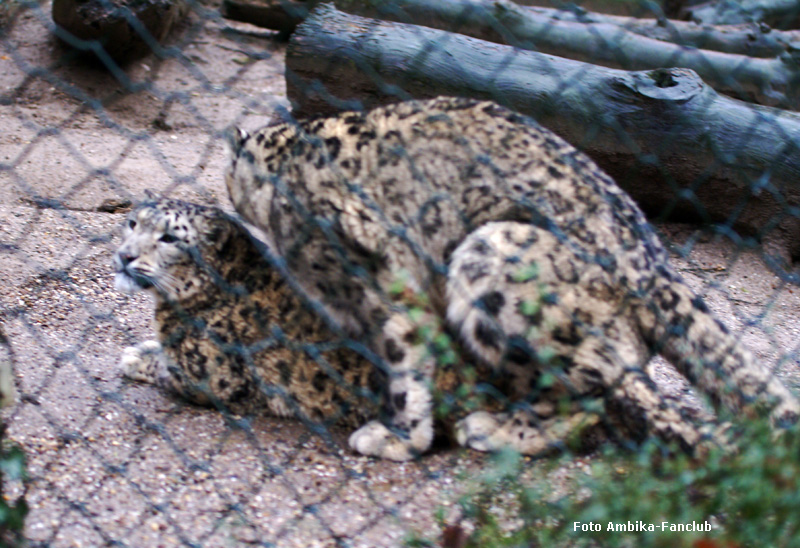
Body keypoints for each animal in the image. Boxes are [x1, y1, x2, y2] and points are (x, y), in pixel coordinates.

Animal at [223, 96, 800, 460]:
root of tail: (652, 260)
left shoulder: (382, 282)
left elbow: (404, 362)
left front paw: (398, 438)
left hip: (494, 262)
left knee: (591, 386)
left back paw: (497, 431)